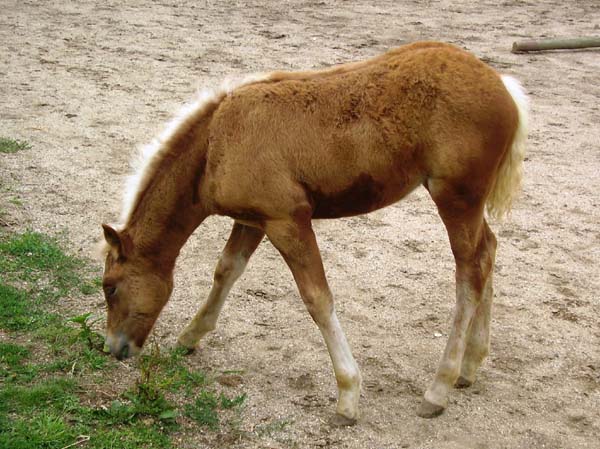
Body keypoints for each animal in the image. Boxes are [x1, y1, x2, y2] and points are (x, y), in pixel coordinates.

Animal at [101, 42, 528, 424]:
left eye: (110, 287)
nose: (114, 348)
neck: (215, 144)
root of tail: (502, 84)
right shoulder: (253, 220)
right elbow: (226, 270)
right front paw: (190, 337)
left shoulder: (288, 221)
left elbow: (317, 299)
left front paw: (348, 395)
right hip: (467, 203)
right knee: (488, 251)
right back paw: (470, 366)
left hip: (455, 198)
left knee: (470, 271)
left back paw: (439, 388)